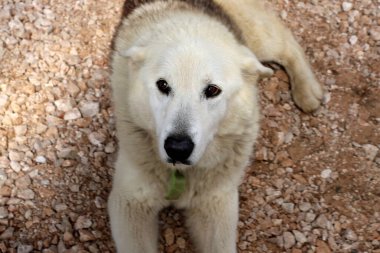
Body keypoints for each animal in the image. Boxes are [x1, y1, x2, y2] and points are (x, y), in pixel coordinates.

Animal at [107, 0, 324, 252]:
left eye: (212, 90)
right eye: (162, 85)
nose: (177, 148)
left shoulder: (217, 203)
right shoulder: (129, 203)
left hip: (259, 38)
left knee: (288, 44)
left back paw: (307, 91)